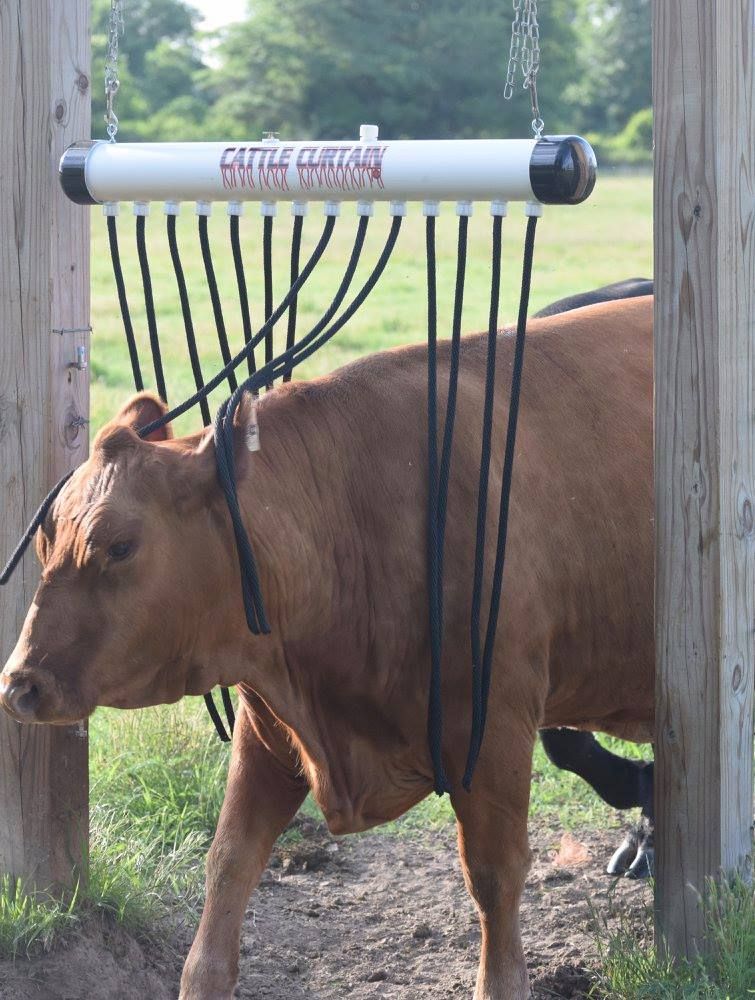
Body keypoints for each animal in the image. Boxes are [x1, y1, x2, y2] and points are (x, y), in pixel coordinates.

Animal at [0, 295, 654, 1000]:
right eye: (45, 540)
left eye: (120, 545)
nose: (20, 685)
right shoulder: (270, 726)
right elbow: (229, 863)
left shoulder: (495, 728)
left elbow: (493, 875)